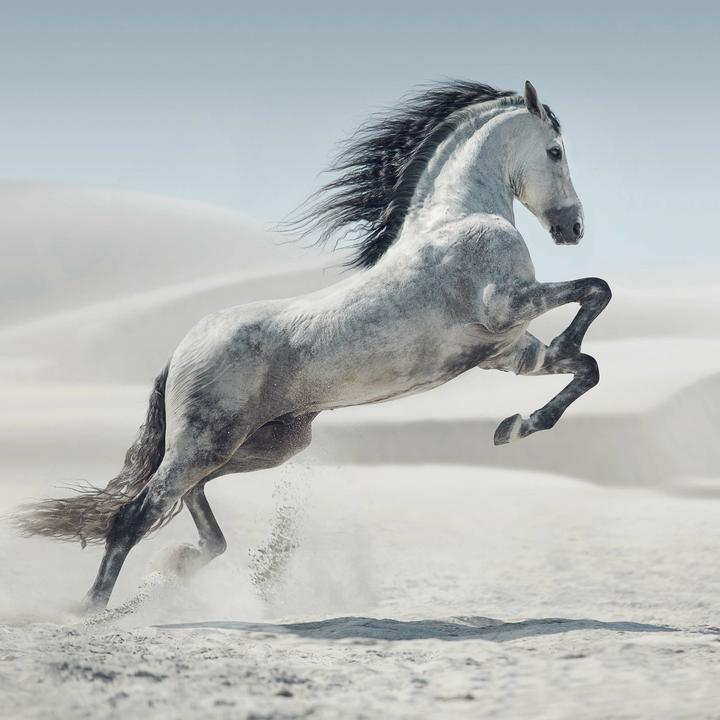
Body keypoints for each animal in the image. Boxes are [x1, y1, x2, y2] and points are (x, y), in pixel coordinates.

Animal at [15, 80, 611, 611]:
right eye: (555, 151)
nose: (574, 228)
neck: (458, 217)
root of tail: (180, 350)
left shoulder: (508, 352)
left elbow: (587, 367)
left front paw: (515, 426)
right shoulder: (504, 306)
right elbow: (596, 290)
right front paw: (537, 390)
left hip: (264, 445)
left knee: (190, 499)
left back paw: (182, 562)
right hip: (205, 443)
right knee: (136, 514)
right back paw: (92, 609)